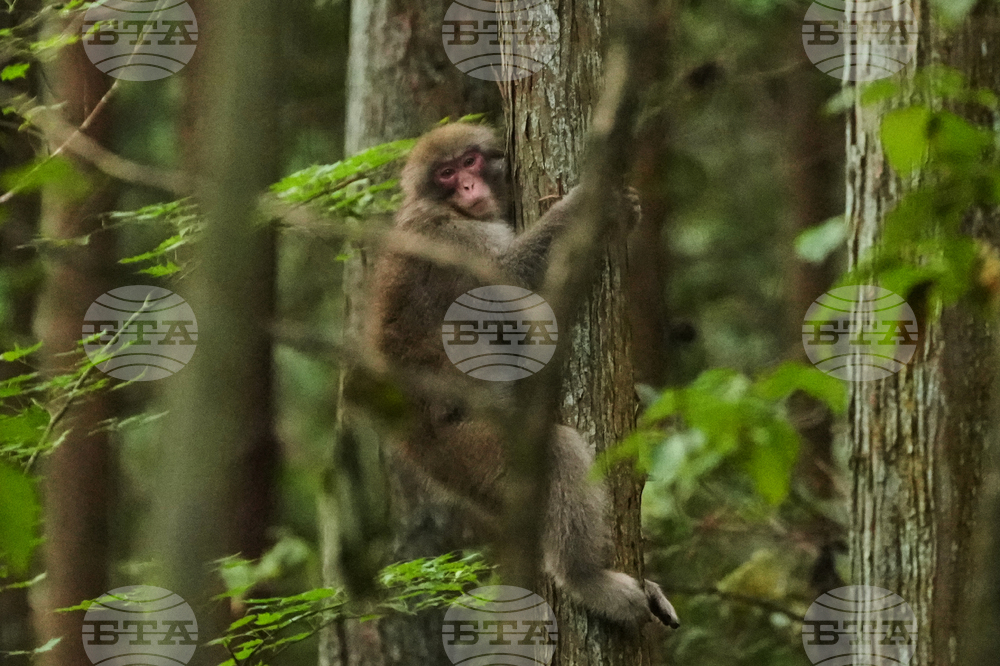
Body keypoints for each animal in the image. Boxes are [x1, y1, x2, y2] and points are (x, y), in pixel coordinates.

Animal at [365, 122, 680, 628]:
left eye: (470, 162)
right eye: (446, 174)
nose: (468, 187)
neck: (445, 208)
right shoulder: (452, 236)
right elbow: (509, 281)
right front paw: (587, 206)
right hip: (466, 448)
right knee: (556, 451)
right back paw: (586, 581)